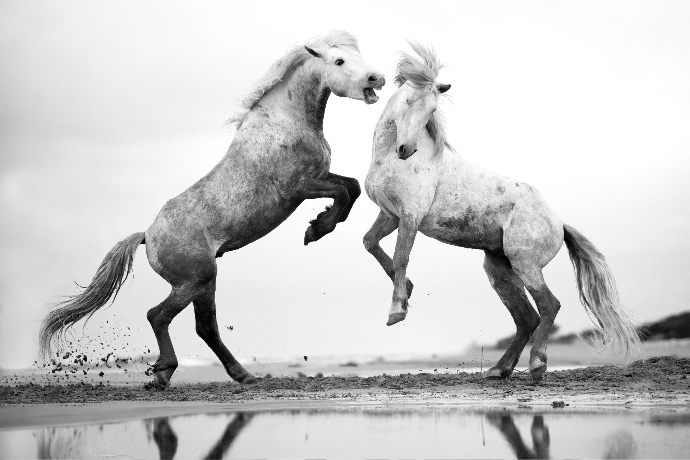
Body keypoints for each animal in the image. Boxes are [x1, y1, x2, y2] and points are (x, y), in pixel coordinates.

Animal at [40, 31, 386, 387]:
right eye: (339, 61)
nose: (377, 77)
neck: (286, 122)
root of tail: (147, 236)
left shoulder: (320, 176)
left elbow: (352, 187)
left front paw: (320, 223)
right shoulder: (299, 188)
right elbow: (343, 191)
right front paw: (316, 229)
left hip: (204, 283)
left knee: (205, 328)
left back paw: (242, 374)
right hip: (196, 279)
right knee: (158, 316)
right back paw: (164, 372)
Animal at [363, 42, 640, 381]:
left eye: (431, 110)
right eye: (408, 101)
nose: (406, 150)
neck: (390, 160)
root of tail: (559, 223)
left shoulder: (410, 216)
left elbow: (401, 256)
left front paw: (397, 310)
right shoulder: (390, 215)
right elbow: (371, 243)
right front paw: (408, 291)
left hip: (525, 264)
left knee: (549, 306)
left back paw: (537, 365)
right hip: (499, 270)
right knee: (527, 318)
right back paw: (500, 369)